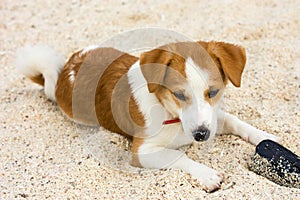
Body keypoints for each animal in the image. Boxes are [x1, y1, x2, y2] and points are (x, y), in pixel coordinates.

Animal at [15, 41, 282, 192]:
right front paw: (206, 174)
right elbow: (177, 156)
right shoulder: (142, 151)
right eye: (179, 94)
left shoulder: (212, 117)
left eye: (213, 92)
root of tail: (65, 71)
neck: (172, 115)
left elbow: (237, 122)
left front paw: (264, 136)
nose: (201, 135)